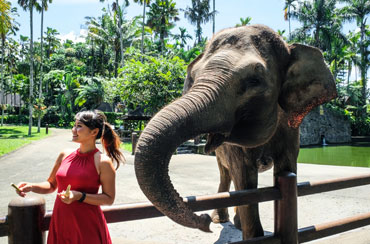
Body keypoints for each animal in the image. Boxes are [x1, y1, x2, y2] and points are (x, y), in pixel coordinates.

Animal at [134, 24, 338, 240]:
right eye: (195, 77)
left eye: (254, 80)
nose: (204, 219)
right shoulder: (234, 149)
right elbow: (244, 178)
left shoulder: (291, 132)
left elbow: (286, 168)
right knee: (226, 173)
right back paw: (221, 219)